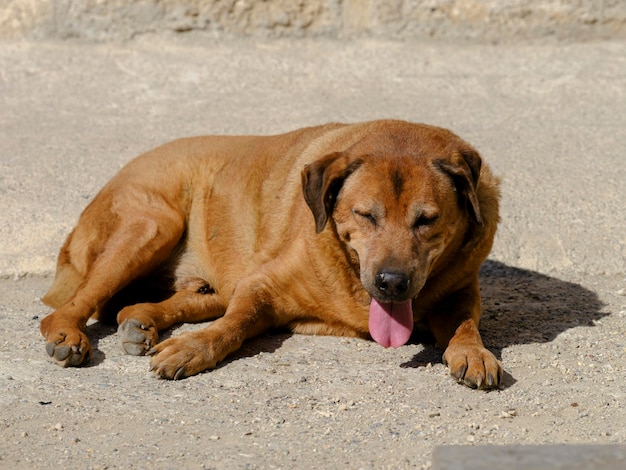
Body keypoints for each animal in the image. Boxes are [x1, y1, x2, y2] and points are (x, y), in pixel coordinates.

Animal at [39, 120, 500, 390]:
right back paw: (68, 336)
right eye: (365, 215)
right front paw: (194, 347)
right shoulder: (262, 284)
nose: (391, 283)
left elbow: (465, 323)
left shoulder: (461, 292)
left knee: (155, 302)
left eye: (427, 220)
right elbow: (234, 324)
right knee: (69, 307)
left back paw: (142, 319)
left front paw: (473, 352)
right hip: (155, 223)